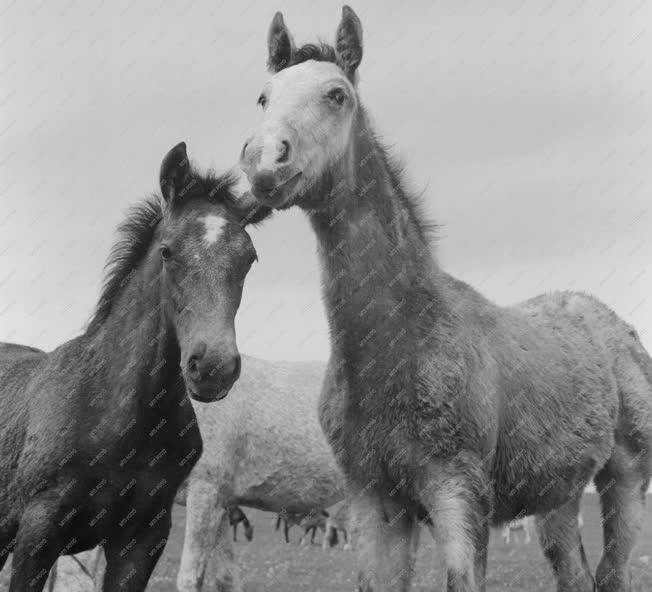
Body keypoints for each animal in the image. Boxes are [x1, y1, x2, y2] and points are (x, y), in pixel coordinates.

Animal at [238, 5, 652, 592]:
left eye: (337, 94)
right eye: (264, 97)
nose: (264, 162)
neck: (405, 341)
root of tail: (615, 326)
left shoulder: (458, 494)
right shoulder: (375, 501)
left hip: (626, 483)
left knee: (613, 572)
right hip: (559, 498)